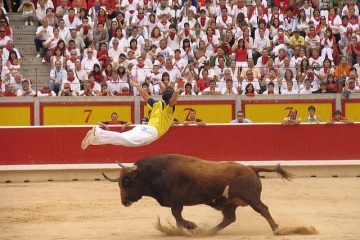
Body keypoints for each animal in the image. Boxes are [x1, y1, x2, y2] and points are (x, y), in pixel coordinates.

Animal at [102, 154, 292, 234]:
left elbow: (177, 215)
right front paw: (185, 229)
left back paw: (276, 229)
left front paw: (190, 227)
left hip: (251, 198)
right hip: (229, 203)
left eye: (127, 182)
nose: (124, 201)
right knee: (229, 218)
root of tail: (251, 168)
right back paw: (208, 232)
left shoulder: (177, 201)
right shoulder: (176, 202)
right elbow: (177, 217)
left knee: (263, 209)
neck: (158, 172)